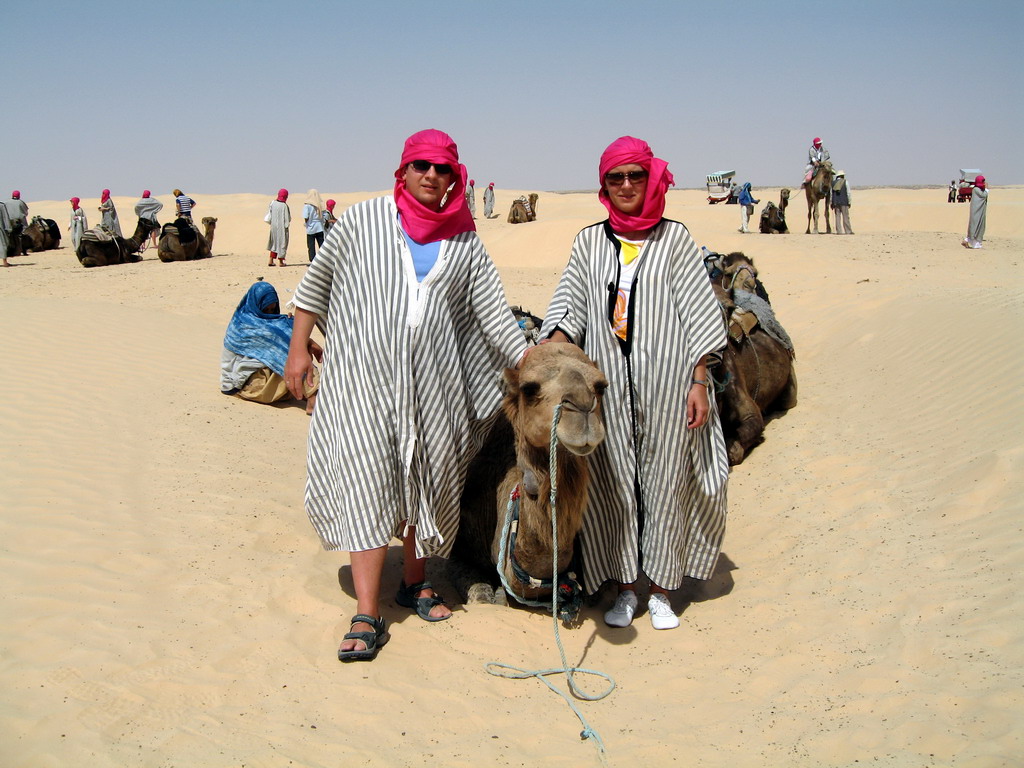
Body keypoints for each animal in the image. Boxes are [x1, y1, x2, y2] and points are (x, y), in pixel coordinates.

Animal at [450, 342, 606, 614]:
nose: (582, 409)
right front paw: (491, 594)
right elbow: (479, 592)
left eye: (600, 387)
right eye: (529, 388)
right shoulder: (462, 543)